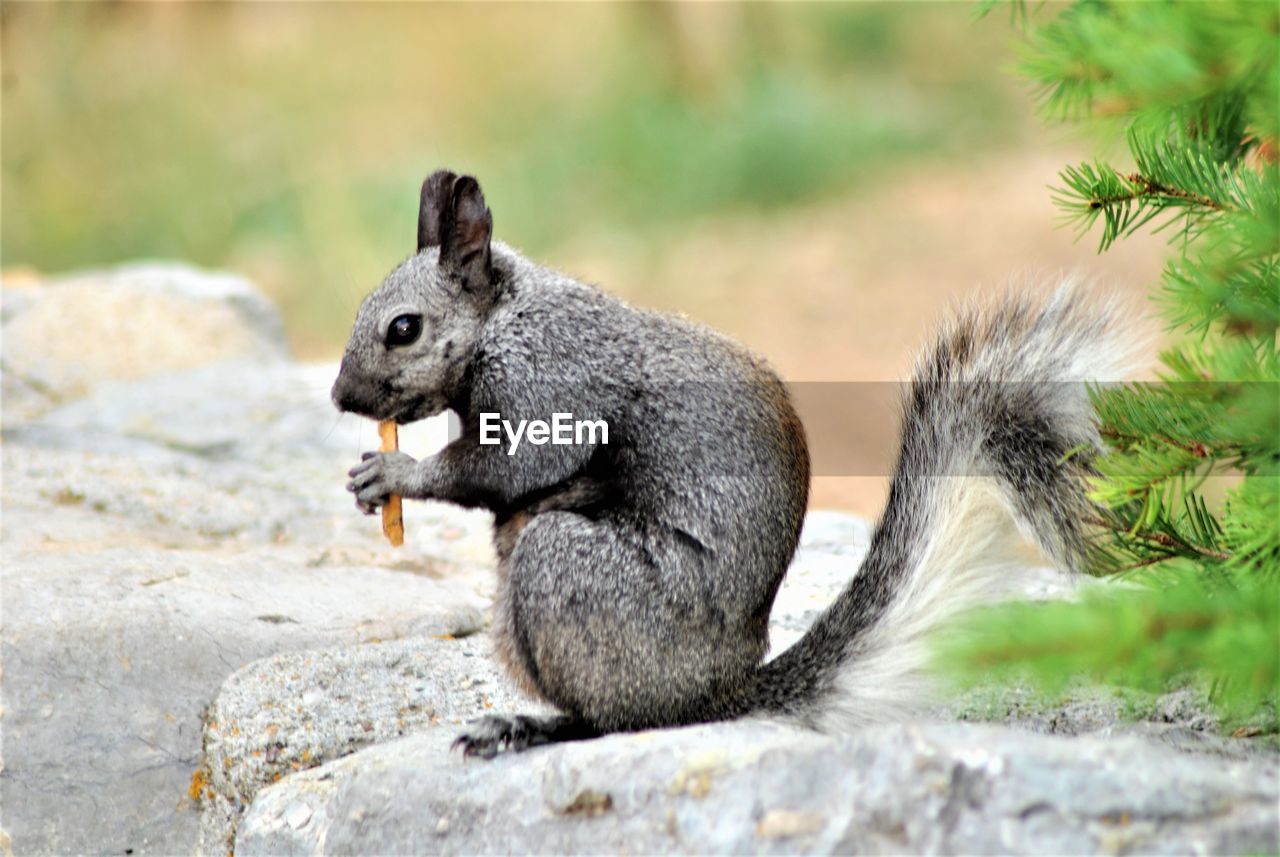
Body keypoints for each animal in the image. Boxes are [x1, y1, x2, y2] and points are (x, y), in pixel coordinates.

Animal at [335, 171, 1126, 762]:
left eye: (404, 328)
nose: (343, 397)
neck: (505, 320)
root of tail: (718, 695)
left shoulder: (552, 381)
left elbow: (512, 465)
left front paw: (394, 475)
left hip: (568, 576)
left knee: (615, 720)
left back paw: (532, 727)